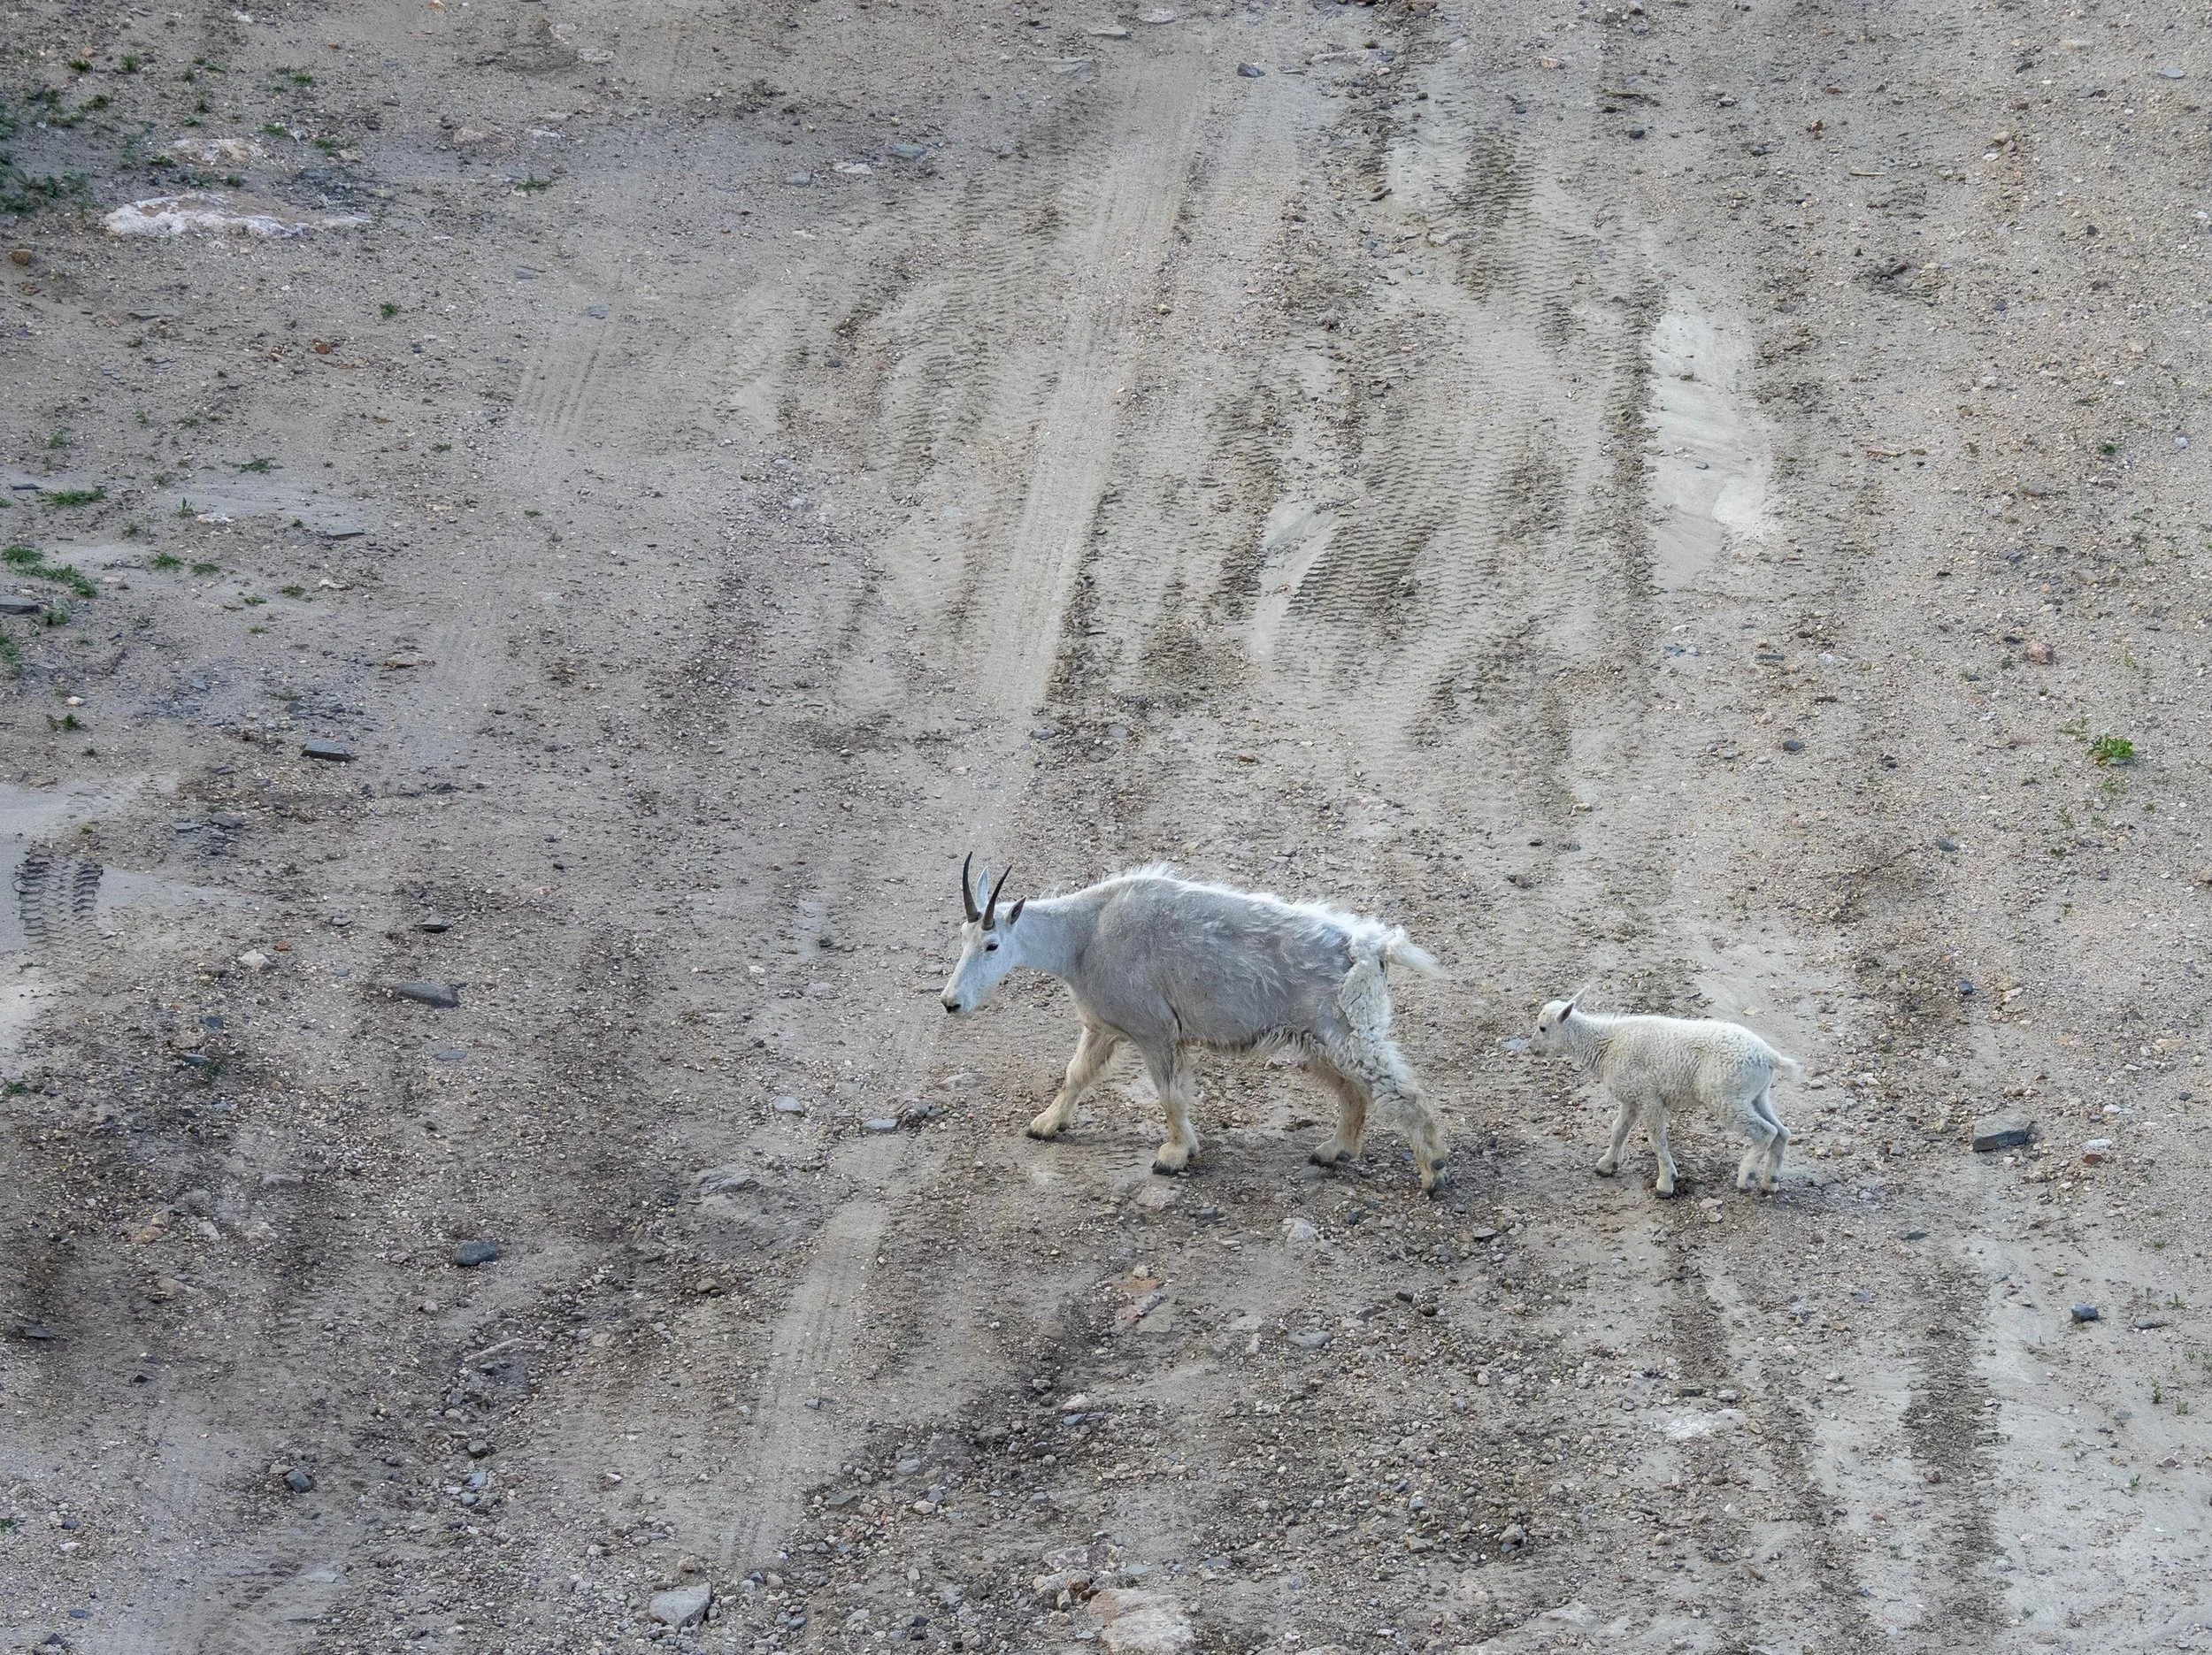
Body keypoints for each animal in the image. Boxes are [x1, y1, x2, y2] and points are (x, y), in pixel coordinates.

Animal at [940, 858, 1450, 1192]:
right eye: (962, 936)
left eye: (991, 945)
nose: (950, 1002)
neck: (1082, 936)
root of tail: (1372, 947)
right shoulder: (1102, 1026)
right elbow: (1076, 1074)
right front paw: (1046, 1124)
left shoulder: (1155, 1032)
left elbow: (1169, 1094)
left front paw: (1174, 1154)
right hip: (1317, 1040)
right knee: (1354, 1091)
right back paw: (1334, 1149)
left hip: (1349, 1029)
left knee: (1402, 1091)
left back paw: (1432, 1170)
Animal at [1529, 995, 1800, 1198]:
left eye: (1543, 1028)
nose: (1532, 1049)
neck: (1607, 1044)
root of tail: (1768, 1055)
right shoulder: (1632, 1099)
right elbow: (1619, 1130)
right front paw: (1606, 1166)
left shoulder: (1649, 1097)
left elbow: (1657, 1141)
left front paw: (1665, 1184)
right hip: (1755, 1094)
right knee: (1782, 1131)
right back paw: (1771, 1181)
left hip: (1726, 1097)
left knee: (1765, 1131)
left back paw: (1747, 1178)